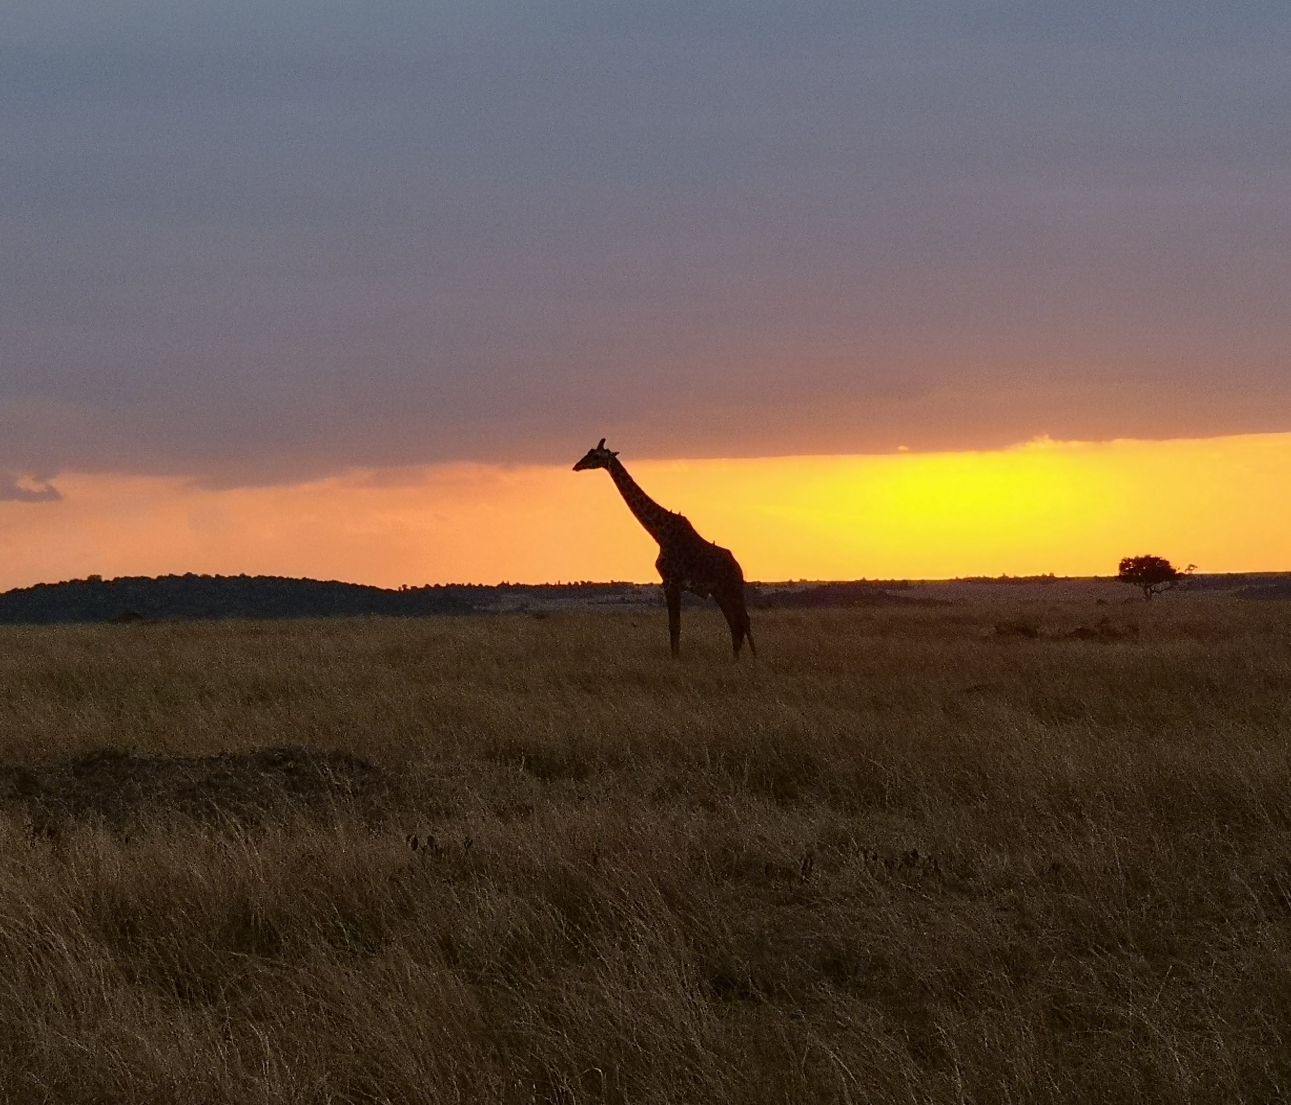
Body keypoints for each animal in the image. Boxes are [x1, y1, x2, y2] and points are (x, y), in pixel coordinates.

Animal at [575, 436, 753, 655]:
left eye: (596, 456)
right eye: (589, 452)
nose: (577, 465)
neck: (660, 534)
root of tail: (739, 568)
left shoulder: (671, 582)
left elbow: (674, 626)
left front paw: (675, 659)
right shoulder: (670, 583)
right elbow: (674, 626)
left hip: (731, 588)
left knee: (743, 621)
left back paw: (753, 659)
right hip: (721, 591)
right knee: (736, 624)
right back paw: (736, 659)